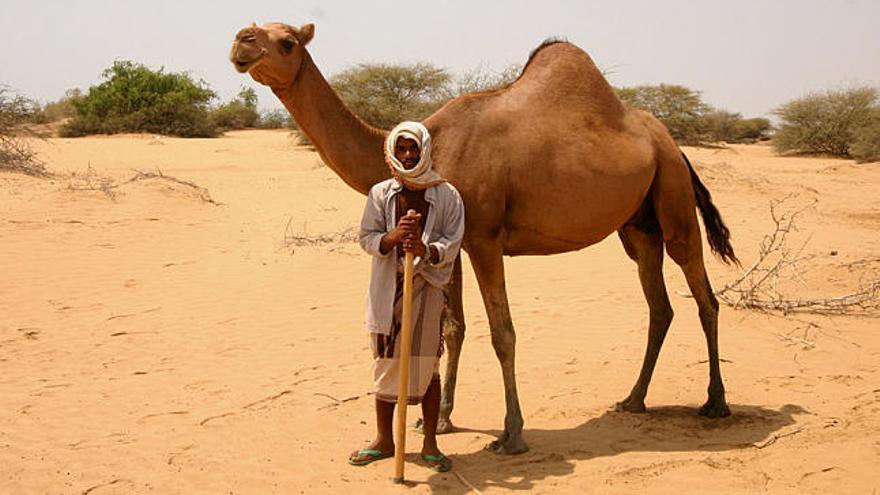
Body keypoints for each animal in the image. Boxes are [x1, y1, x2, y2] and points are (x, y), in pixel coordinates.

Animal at [230, 21, 740, 456]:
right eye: (255, 31)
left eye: (287, 42)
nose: (241, 42)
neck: (432, 150)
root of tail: (670, 141)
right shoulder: (450, 244)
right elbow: (453, 328)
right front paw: (439, 419)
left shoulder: (485, 239)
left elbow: (503, 332)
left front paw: (511, 434)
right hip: (637, 226)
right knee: (660, 304)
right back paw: (633, 399)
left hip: (673, 196)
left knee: (703, 295)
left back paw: (715, 403)